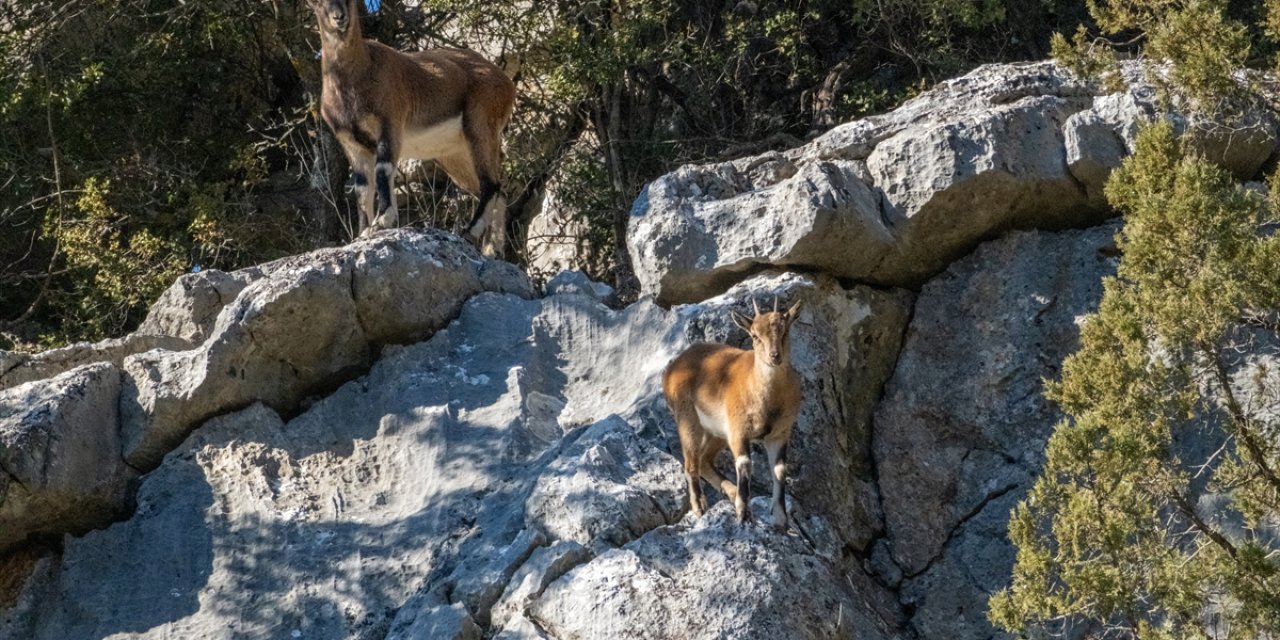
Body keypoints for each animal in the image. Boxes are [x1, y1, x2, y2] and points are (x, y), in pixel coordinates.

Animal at [304, 0, 514, 254]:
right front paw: (363, 233)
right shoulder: (352, 144)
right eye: (317, 3)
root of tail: (505, 81)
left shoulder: (389, 123)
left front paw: (383, 220)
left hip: (480, 124)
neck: (357, 76)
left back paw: (470, 232)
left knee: (491, 184)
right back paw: (492, 250)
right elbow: (362, 189)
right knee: (498, 190)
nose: (339, 18)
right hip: (454, 155)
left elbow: (383, 169)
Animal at [660, 296, 798, 527]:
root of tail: (671, 369)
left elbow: (779, 470)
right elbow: (744, 465)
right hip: (688, 420)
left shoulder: (779, 433)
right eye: (754, 335)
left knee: (704, 461)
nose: (774, 356)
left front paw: (781, 521)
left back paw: (731, 494)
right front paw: (744, 514)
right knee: (691, 463)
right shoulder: (738, 430)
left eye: (785, 330)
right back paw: (700, 507)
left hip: (717, 432)